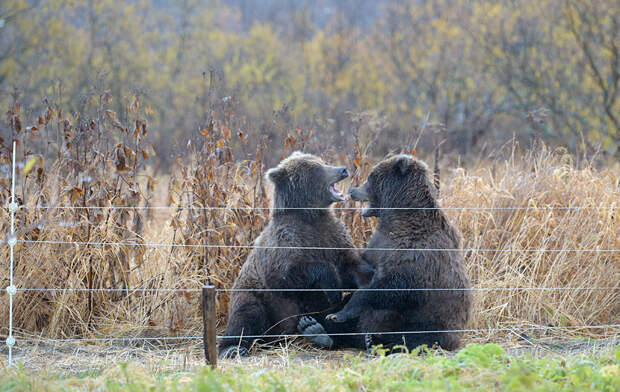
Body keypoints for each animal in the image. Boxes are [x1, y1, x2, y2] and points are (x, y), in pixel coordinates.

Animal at [218, 151, 372, 358]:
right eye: (316, 168)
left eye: (322, 161)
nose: (342, 169)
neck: (310, 215)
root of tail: (282, 337)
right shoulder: (286, 240)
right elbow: (286, 274)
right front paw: (332, 286)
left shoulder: (334, 236)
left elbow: (353, 267)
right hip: (256, 297)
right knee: (245, 315)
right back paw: (233, 348)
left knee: (339, 315)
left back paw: (318, 331)